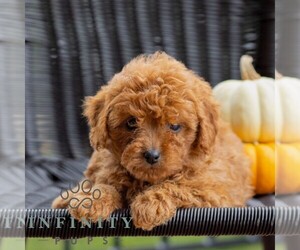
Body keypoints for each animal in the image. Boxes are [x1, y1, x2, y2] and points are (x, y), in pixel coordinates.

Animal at [52, 51, 254, 231]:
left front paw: (149, 204)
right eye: (131, 122)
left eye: (174, 126)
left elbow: (181, 185)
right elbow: (105, 184)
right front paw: (91, 200)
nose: (151, 155)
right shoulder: (109, 168)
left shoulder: (214, 193)